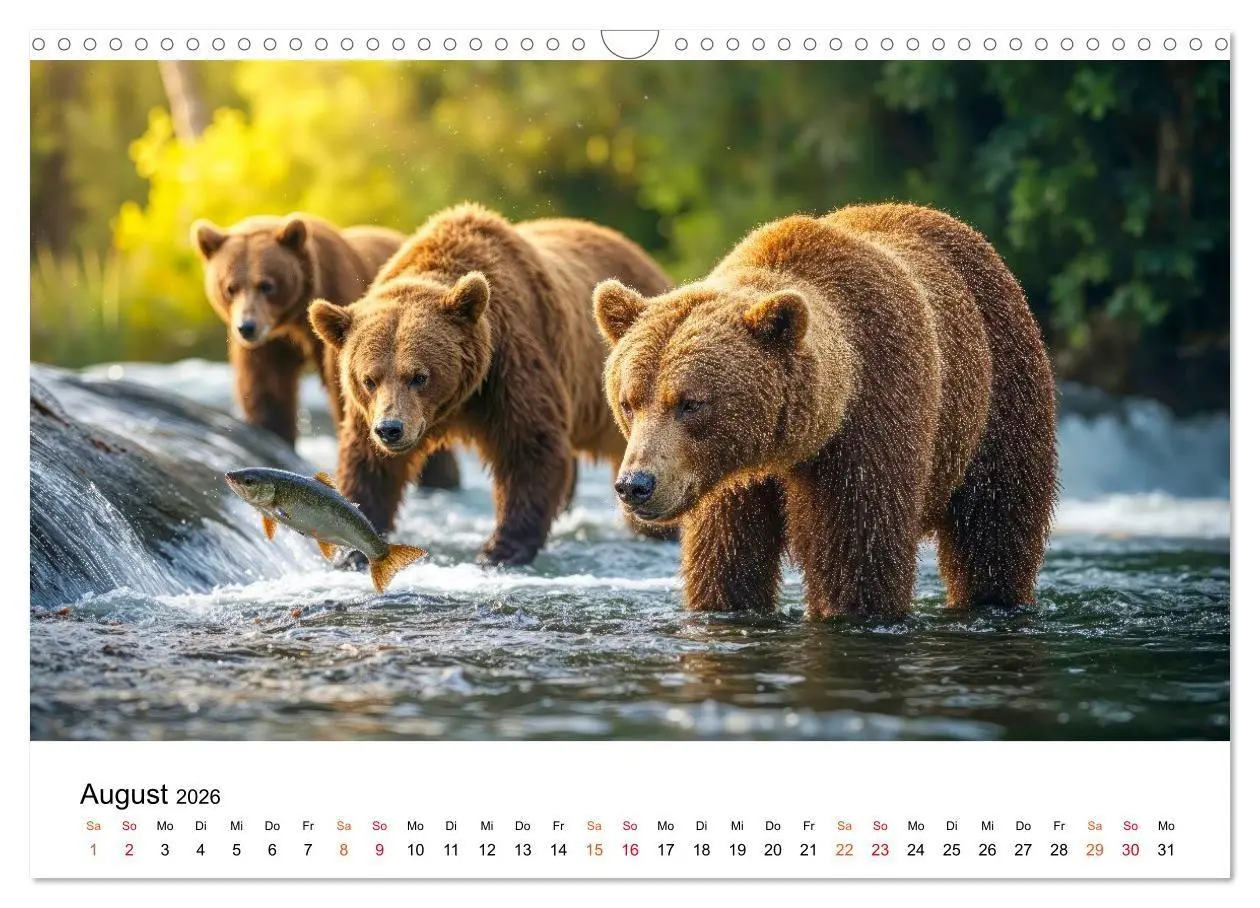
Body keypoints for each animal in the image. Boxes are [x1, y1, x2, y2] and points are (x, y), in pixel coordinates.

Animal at [192, 213, 461, 489]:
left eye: (267, 285)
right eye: (229, 287)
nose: (247, 327)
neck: (295, 319)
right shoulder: (270, 343)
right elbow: (267, 388)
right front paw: (274, 433)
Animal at [308, 203, 674, 566]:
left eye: (419, 376)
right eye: (369, 379)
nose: (391, 429)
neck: (458, 403)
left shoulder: (508, 366)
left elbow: (529, 445)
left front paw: (500, 549)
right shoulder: (367, 412)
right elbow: (369, 462)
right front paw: (353, 547)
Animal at [594, 202, 1058, 618]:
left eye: (690, 403)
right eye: (629, 402)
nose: (635, 484)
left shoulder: (872, 421)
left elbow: (857, 555)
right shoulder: (727, 483)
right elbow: (726, 559)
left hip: (1000, 392)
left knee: (994, 524)